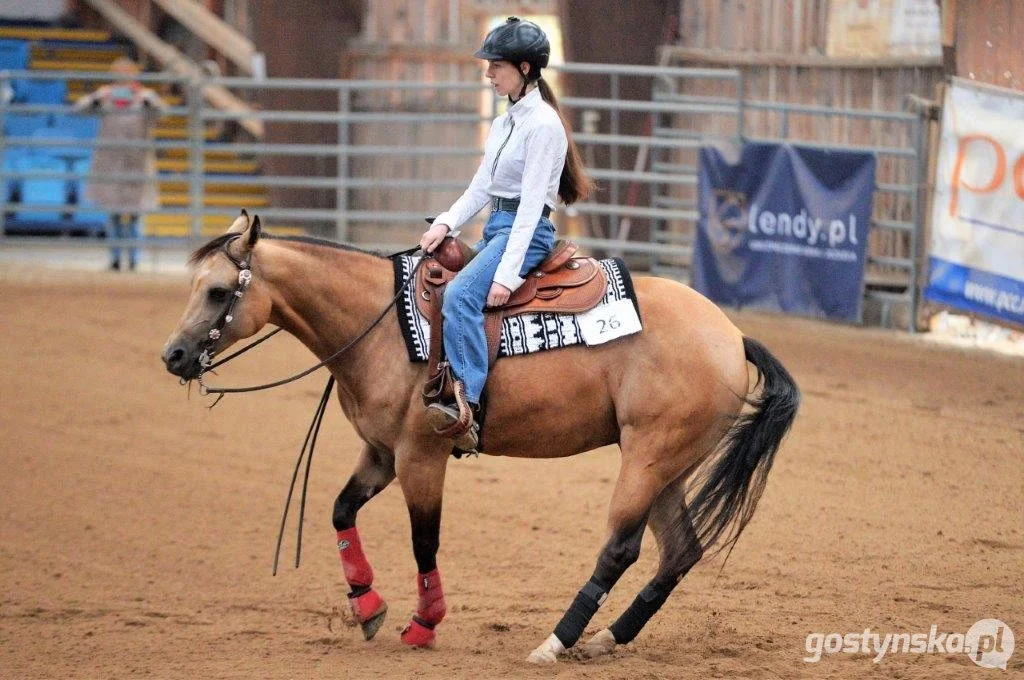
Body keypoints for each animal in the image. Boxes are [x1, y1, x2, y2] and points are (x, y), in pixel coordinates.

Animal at [159, 213, 798, 663]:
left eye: (219, 291)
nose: (174, 356)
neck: (383, 326)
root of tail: (733, 335)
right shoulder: (381, 453)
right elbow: (341, 511)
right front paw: (367, 606)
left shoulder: (422, 455)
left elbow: (424, 541)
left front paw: (423, 624)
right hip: (669, 467)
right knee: (680, 551)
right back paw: (604, 641)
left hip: (648, 457)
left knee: (620, 549)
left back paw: (556, 643)